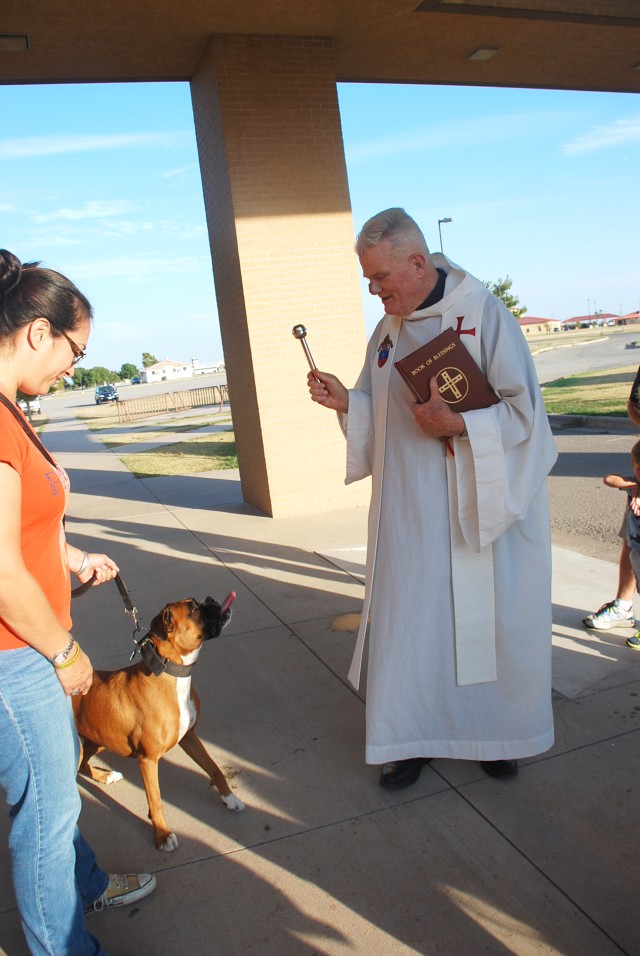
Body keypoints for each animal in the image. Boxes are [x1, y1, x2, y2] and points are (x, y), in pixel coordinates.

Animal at [71, 592, 244, 852]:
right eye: (193, 609)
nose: (210, 598)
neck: (170, 673)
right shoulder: (148, 760)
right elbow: (156, 800)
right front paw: (163, 835)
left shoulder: (190, 737)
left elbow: (214, 768)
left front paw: (229, 798)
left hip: (98, 741)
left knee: (83, 765)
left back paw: (105, 776)